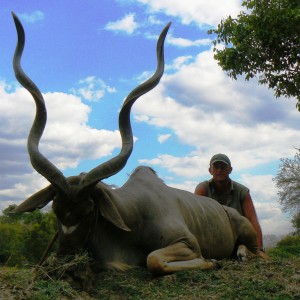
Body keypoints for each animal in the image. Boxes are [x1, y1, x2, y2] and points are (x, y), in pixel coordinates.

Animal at [11, 12, 258, 276]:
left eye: (88, 211)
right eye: (56, 209)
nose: (64, 262)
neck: (133, 213)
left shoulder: (188, 243)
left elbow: (153, 260)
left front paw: (213, 261)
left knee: (255, 252)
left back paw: (239, 254)